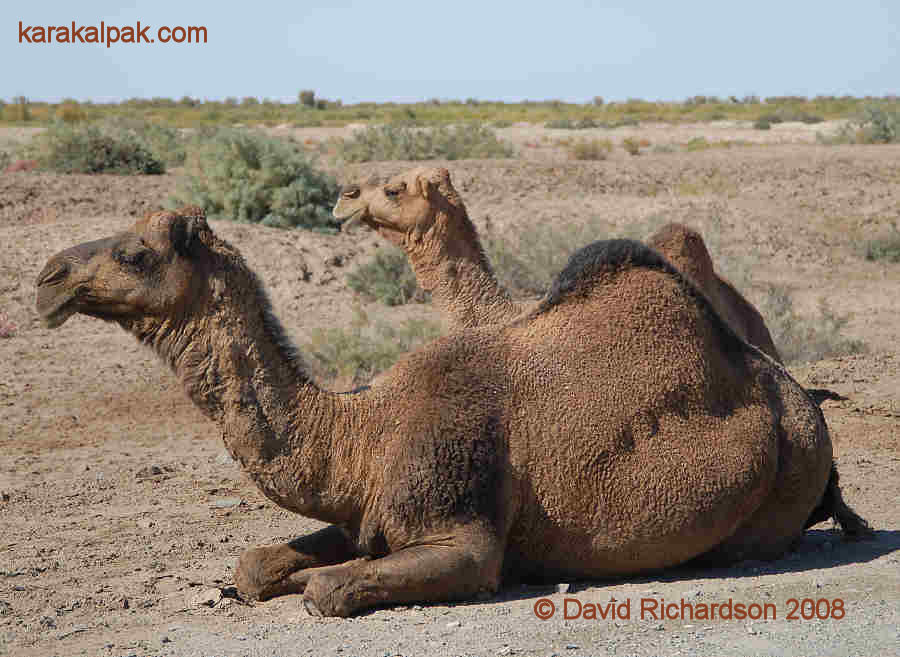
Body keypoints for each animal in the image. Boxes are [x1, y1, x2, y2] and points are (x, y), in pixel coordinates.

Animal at [38, 209, 868, 616]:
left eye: (138, 254)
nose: (48, 276)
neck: (364, 430)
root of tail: (802, 402)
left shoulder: (463, 534)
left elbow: (328, 589)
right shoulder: (364, 510)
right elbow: (258, 564)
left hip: (780, 488)